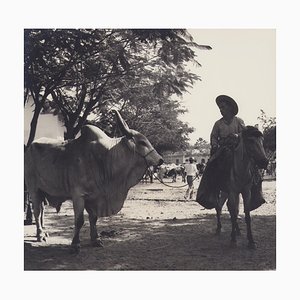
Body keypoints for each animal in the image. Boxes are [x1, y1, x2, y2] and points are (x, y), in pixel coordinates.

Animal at [24, 109, 163, 251]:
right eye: (142, 142)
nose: (160, 160)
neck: (106, 157)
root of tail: (29, 147)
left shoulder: (95, 197)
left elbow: (94, 218)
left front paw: (95, 239)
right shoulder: (78, 195)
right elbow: (79, 220)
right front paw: (75, 243)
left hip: (42, 191)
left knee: (41, 210)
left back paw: (43, 231)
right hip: (33, 188)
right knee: (37, 211)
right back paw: (40, 235)